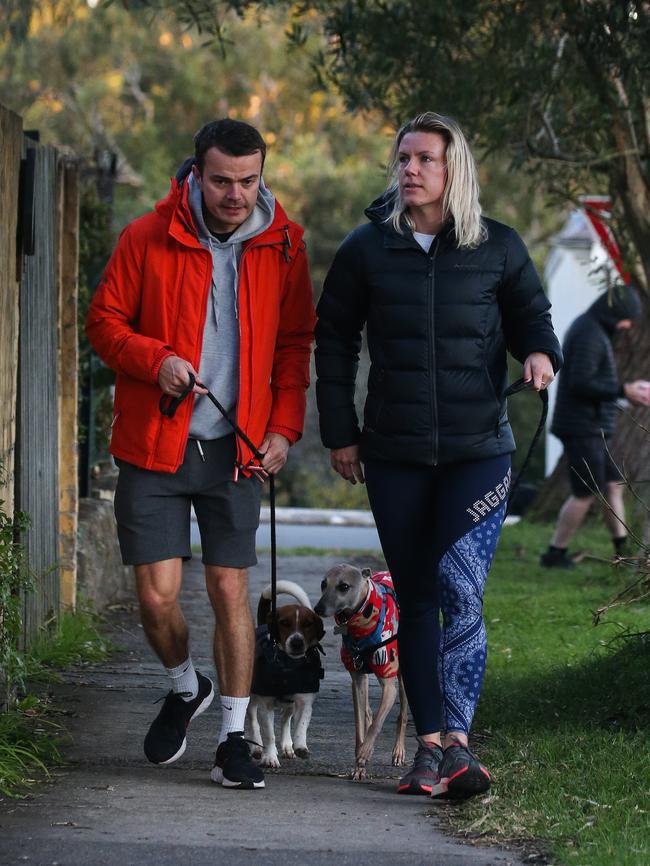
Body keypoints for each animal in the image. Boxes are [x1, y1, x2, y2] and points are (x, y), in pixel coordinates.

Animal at [244, 576, 322, 768]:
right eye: (285, 623)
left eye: (308, 624)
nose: (297, 642)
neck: (289, 664)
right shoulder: (265, 705)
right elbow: (268, 734)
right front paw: (269, 757)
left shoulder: (304, 701)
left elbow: (301, 725)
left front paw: (300, 745)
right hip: (251, 697)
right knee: (253, 720)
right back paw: (256, 747)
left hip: (289, 703)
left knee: (286, 720)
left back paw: (287, 745)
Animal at [314, 564, 404, 780]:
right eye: (323, 584)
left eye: (344, 586)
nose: (317, 609)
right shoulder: (357, 679)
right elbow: (360, 725)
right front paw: (359, 766)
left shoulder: (389, 684)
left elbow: (377, 723)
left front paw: (364, 752)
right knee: (368, 712)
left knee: (402, 715)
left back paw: (398, 752)